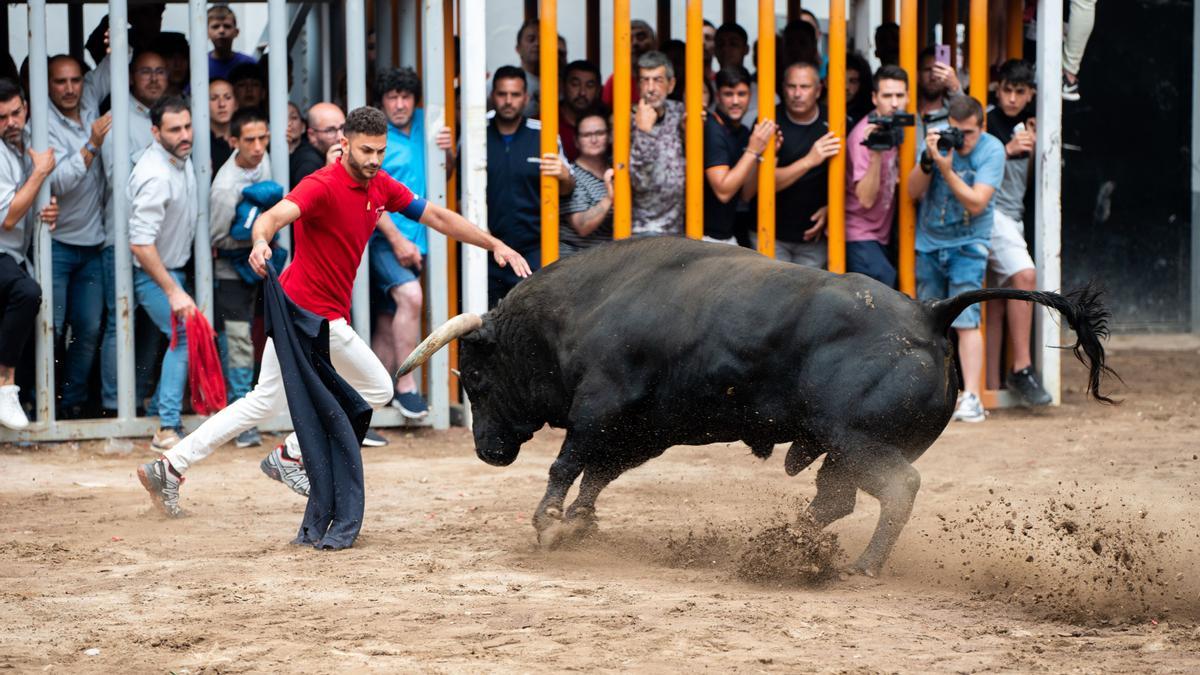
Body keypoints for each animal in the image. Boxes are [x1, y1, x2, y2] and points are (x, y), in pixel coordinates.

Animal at [398, 236, 1108, 571]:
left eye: (476, 378)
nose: (487, 452)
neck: (576, 311)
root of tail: (932, 314)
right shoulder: (644, 430)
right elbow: (598, 473)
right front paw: (578, 525)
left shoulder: (602, 405)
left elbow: (568, 462)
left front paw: (549, 522)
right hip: (842, 450)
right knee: (836, 500)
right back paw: (778, 546)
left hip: (853, 439)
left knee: (896, 488)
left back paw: (856, 565)